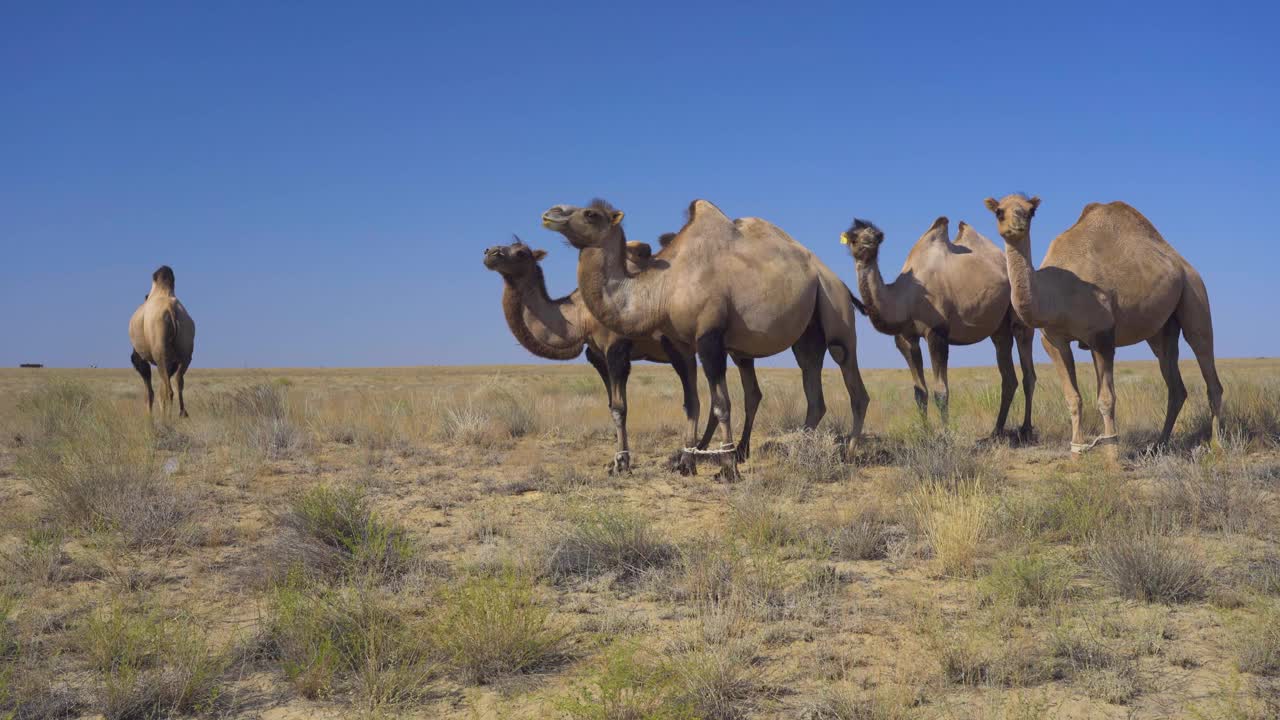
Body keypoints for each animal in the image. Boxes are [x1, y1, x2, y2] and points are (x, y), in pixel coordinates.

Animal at [127, 266, 194, 417]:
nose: (132, 357)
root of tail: (172, 310)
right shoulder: (171, 362)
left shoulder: (142, 358)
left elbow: (149, 392)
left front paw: (149, 416)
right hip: (185, 351)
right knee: (178, 381)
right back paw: (182, 413)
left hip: (160, 351)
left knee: (168, 391)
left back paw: (167, 418)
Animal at [839, 212, 1039, 438]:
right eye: (853, 237)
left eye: (874, 234)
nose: (867, 241)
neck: (906, 297)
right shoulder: (906, 338)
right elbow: (920, 392)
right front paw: (926, 433)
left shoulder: (937, 332)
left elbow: (941, 391)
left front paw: (946, 434)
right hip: (999, 327)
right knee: (1008, 376)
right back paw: (995, 431)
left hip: (1021, 316)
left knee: (1028, 374)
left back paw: (1025, 429)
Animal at [983, 194, 1223, 453]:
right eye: (999, 211)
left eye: (1030, 211)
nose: (1018, 223)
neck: (1057, 291)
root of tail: (1183, 264)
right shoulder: (1053, 340)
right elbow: (1073, 397)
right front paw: (1077, 450)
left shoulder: (1102, 336)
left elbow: (1106, 399)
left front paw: (1111, 453)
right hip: (1162, 329)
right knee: (1175, 384)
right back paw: (1158, 444)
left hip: (1194, 293)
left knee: (1205, 358)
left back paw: (1217, 444)